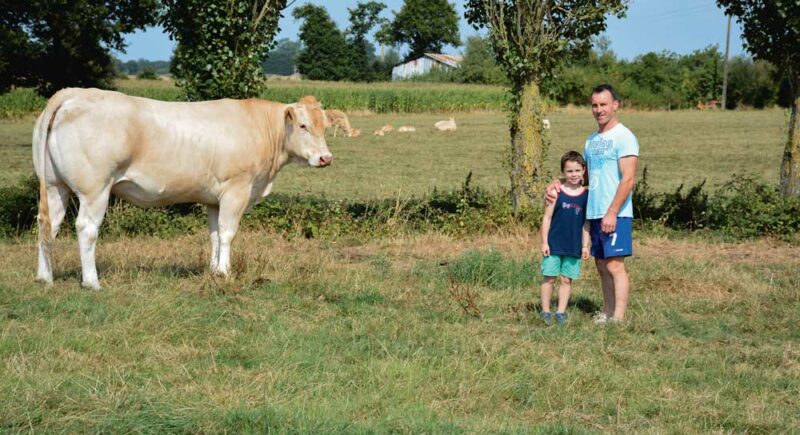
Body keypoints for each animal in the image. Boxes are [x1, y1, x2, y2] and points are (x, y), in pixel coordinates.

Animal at [32, 88, 332, 290]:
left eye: (325, 127)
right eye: (303, 125)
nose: (326, 158)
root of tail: (73, 94)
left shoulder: (214, 199)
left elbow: (214, 234)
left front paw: (214, 270)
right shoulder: (237, 190)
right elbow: (227, 233)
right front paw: (225, 272)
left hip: (55, 185)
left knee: (48, 225)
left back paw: (45, 277)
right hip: (95, 189)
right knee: (86, 228)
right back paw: (91, 282)